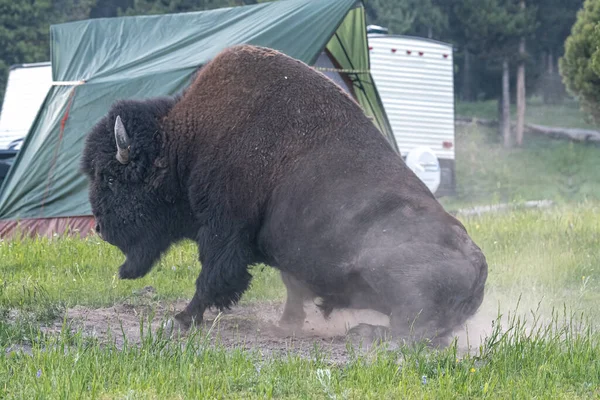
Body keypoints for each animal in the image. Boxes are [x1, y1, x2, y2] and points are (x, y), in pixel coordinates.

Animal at [81, 43, 488, 344]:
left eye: (111, 178)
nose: (100, 228)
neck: (186, 142)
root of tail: (480, 262)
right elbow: (292, 284)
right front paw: (286, 323)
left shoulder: (224, 229)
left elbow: (212, 276)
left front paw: (180, 320)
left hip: (385, 267)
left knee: (415, 331)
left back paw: (364, 332)